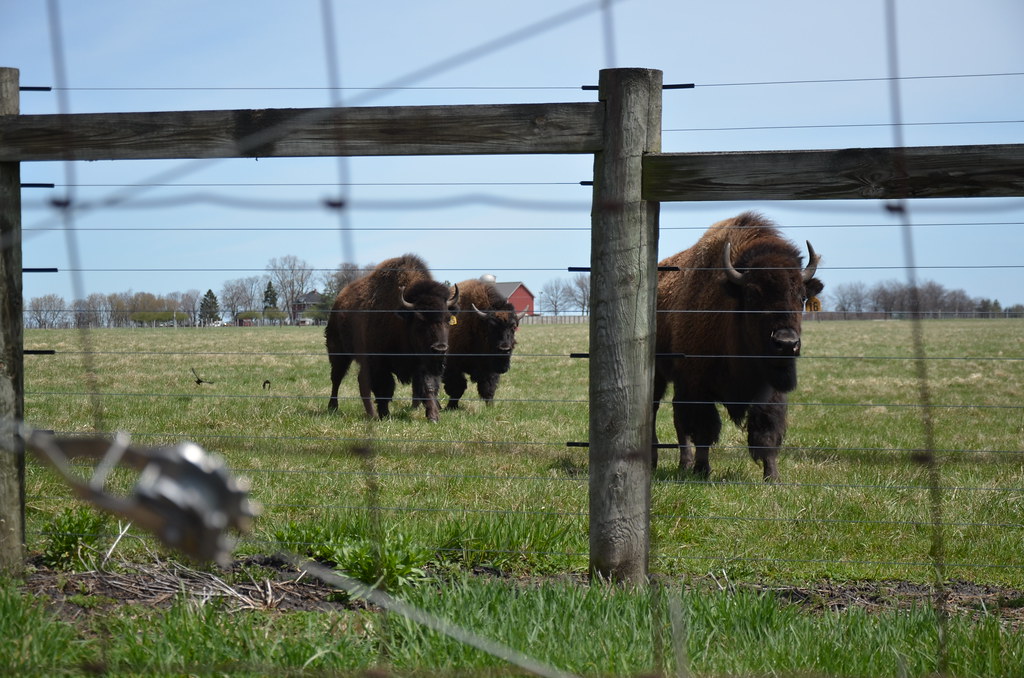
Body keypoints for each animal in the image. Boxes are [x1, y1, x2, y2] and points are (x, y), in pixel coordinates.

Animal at [325, 254, 459, 422]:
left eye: (448, 319)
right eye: (420, 319)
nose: (440, 348)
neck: (402, 320)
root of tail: (337, 303)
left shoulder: (425, 363)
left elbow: (428, 387)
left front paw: (433, 416)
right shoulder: (379, 362)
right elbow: (384, 389)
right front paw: (385, 415)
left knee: (361, 383)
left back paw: (370, 413)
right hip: (339, 353)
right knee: (337, 378)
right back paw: (333, 407)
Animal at [443, 277, 524, 409]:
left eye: (513, 327)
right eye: (491, 326)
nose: (504, 349)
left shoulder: (489, 368)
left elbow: (488, 388)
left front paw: (490, 407)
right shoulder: (452, 365)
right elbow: (457, 388)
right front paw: (451, 407)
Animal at [653, 212, 823, 481]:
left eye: (802, 296)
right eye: (753, 295)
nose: (786, 343)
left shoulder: (770, 391)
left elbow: (766, 431)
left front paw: (772, 477)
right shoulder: (697, 386)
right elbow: (705, 430)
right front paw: (703, 471)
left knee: (678, 421)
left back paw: (684, 464)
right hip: (659, 375)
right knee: (657, 411)